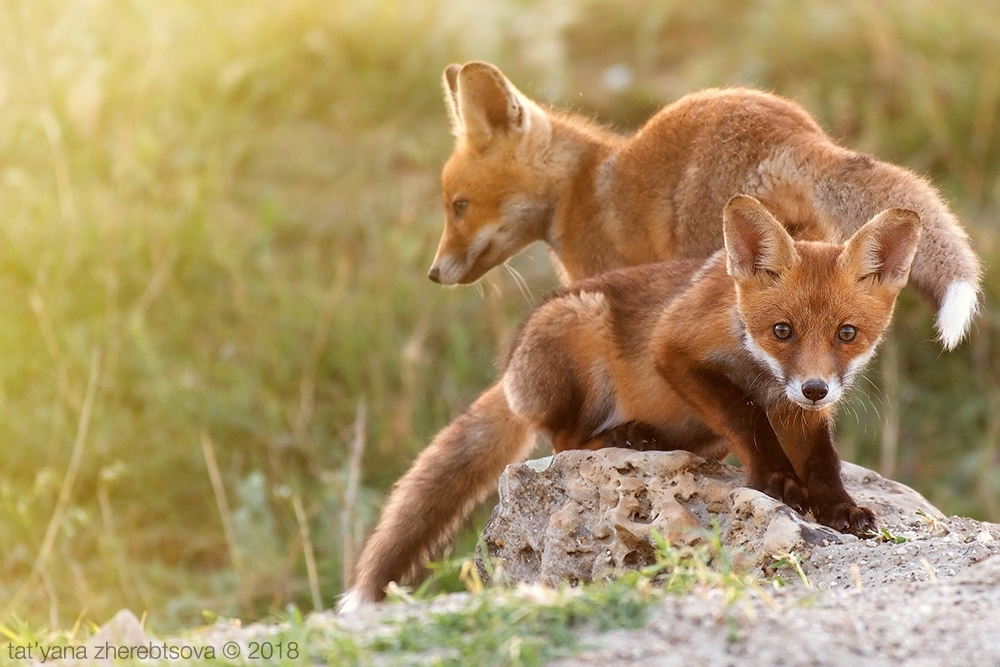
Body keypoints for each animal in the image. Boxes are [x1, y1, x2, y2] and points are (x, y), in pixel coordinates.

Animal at [342, 194, 920, 612]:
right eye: (782, 331)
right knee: (565, 441)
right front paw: (776, 482)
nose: (816, 388)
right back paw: (626, 437)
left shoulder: (797, 410)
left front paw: (840, 508)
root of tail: (510, 376)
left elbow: (823, 460)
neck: (759, 368)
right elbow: (745, 416)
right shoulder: (675, 348)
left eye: (847, 334)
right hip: (580, 327)